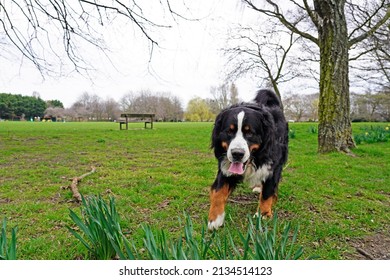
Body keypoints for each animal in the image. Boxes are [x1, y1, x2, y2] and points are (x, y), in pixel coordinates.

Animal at [209, 89, 288, 230]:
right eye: (229, 131)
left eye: (250, 133)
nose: (237, 154)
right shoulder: (225, 166)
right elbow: (218, 192)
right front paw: (215, 218)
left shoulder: (272, 167)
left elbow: (267, 192)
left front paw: (263, 214)